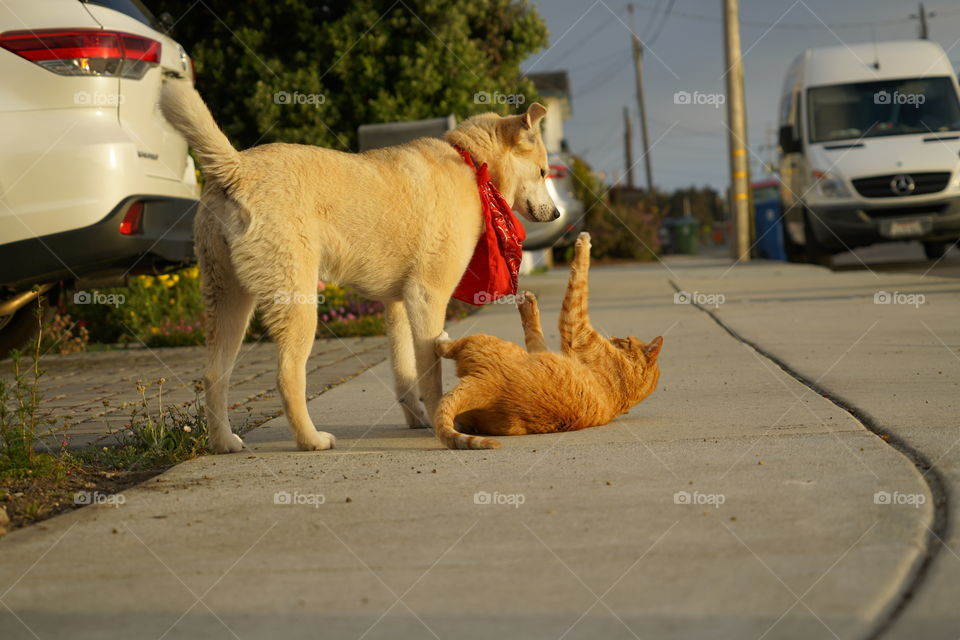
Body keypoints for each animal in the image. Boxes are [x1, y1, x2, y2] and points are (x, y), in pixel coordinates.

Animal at [161, 81, 560, 450]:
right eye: (543, 172)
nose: (557, 214)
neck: (471, 163)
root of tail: (237, 168)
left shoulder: (397, 305)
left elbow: (404, 374)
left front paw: (418, 420)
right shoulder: (427, 297)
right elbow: (430, 373)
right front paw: (441, 421)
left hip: (228, 299)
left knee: (214, 374)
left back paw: (223, 443)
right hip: (297, 303)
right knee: (287, 376)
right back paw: (311, 440)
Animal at [434, 232, 660, 448]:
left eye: (626, 339)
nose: (614, 336)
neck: (626, 383)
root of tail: (488, 385)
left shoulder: (574, 323)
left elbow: (580, 276)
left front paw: (584, 243)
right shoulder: (543, 347)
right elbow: (535, 330)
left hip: (483, 340)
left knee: (445, 348)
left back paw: (441, 337)